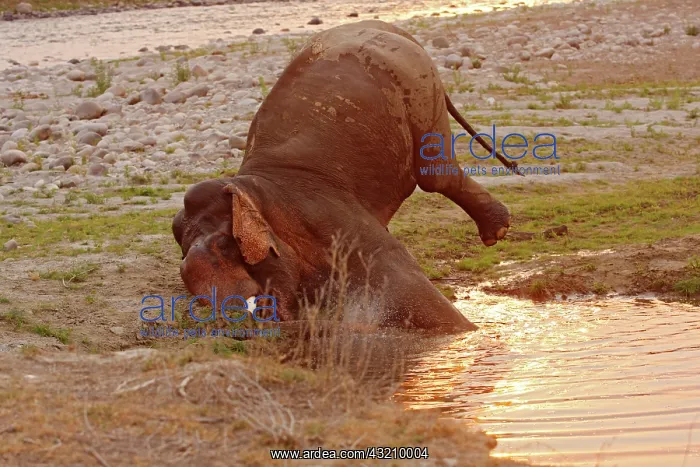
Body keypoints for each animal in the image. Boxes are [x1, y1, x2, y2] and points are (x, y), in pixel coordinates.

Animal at [172, 20, 514, 333]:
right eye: (183, 265)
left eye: (226, 245)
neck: (252, 186)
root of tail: (389, 28)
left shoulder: (326, 215)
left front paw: (466, 333)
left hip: (419, 83)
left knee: (435, 175)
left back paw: (496, 233)